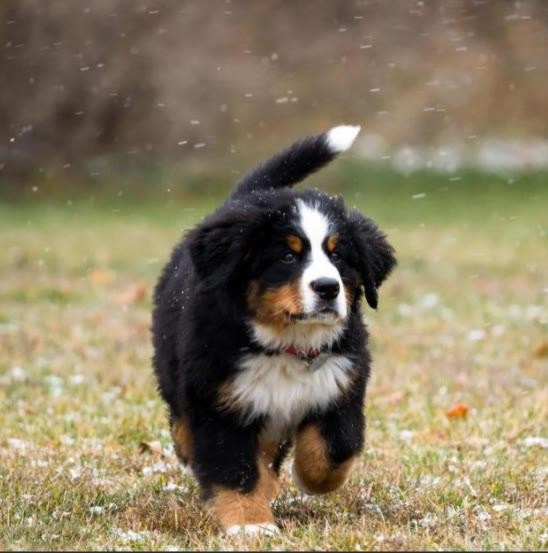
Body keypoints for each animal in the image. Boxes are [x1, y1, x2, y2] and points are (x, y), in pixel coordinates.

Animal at [152, 126, 396, 536]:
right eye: (287, 256)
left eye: (338, 255)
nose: (328, 288)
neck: (287, 345)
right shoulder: (219, 402)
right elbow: (235, 469)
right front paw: (251, 525)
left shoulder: (341, 385)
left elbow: (335, 448)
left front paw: (308, 478)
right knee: (182, 419)